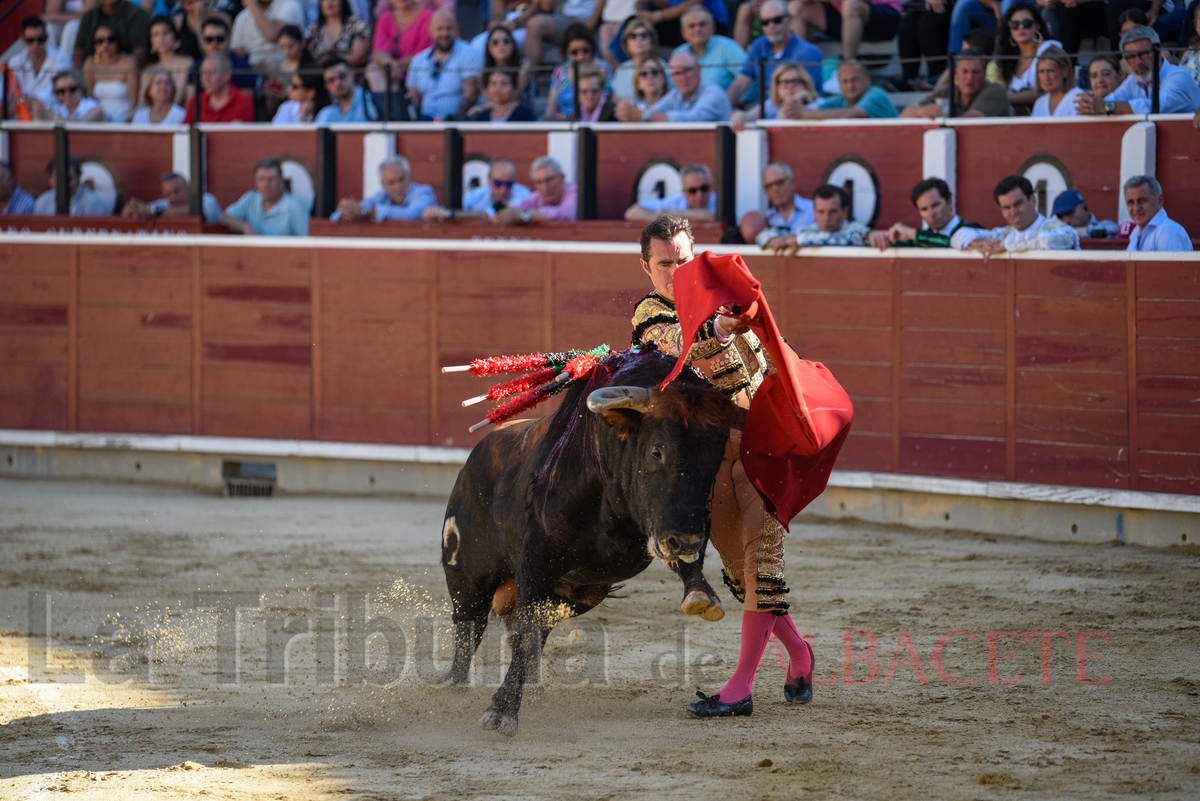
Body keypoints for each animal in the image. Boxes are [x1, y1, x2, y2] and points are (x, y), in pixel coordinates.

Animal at [441, 347, 734, 733]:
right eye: (657, 451)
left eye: (716, 458)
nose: (686, 541)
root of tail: (468, 465)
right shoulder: (535, 561)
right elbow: (523, 632)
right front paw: (501, 710)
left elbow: (529, 633)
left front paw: (700, 591)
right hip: (466, 575)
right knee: (470, 629)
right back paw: (455, 689)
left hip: (579, 593)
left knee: (533, 630)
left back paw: (531, 690)